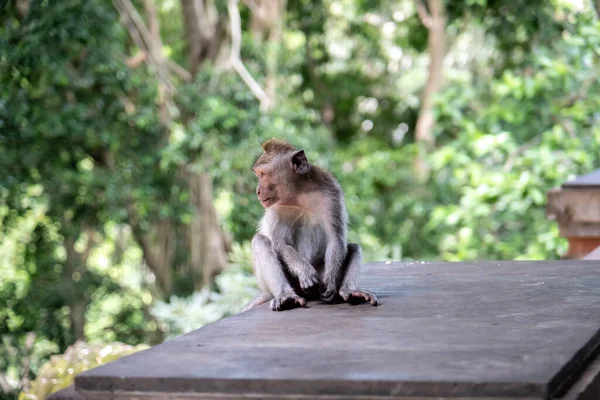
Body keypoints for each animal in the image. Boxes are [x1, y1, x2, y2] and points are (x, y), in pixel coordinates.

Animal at [241, 139, 378, 310]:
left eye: (262, 175)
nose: (257, 191)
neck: (299, 196)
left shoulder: (331, 194)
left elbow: (335, 238)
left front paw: (331, 283)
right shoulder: (277, 208)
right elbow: (281, 243)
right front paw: (304, 271)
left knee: (353, 247)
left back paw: (348, 291)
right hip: (288, 283)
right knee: (260, 241)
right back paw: (285, 295)